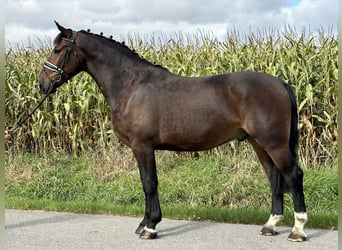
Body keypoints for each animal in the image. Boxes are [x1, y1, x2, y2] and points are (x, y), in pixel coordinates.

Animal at [38, 22, 308, 241]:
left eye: (58, 50)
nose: (42, 83)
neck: (131, 85)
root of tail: (280, 83)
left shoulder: (143, 146)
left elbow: (150, 183)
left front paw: (150, 227)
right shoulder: (140, 148)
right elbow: (145, 183)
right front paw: (144, 223)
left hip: (274, 143)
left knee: (293, 175)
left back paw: (298, 230)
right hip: (258, 143)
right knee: (274, 176)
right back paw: (271, 225)